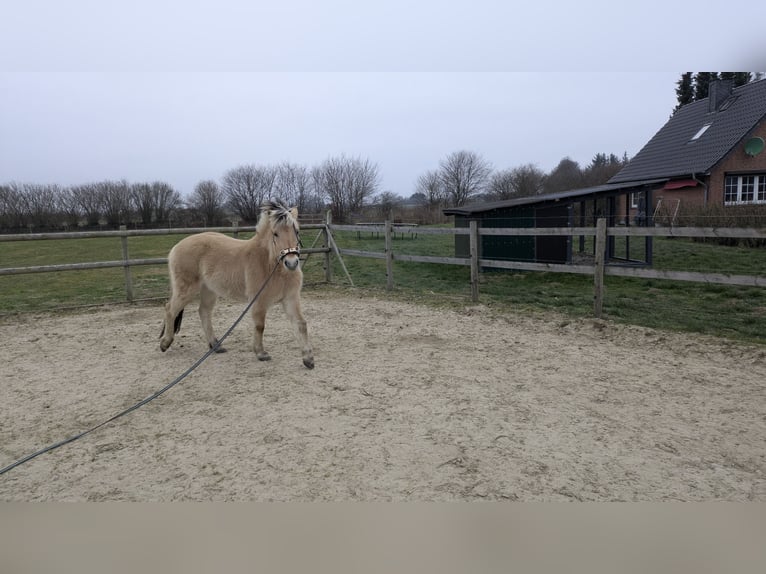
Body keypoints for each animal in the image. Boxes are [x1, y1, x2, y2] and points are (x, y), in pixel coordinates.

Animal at [159, 199, 314, 369]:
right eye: (275, 233)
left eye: (297, 232)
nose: (291, 263)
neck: (272, 266)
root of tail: (177, 247)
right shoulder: (258, 301)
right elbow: (260, 326)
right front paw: (261, 353)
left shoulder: (290, 299)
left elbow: (301, 324)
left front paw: (308, 359)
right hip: (186, 290)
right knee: (170, 310)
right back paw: (165, 343)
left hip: (209, 290)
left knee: (204, 312)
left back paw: (216, 346)